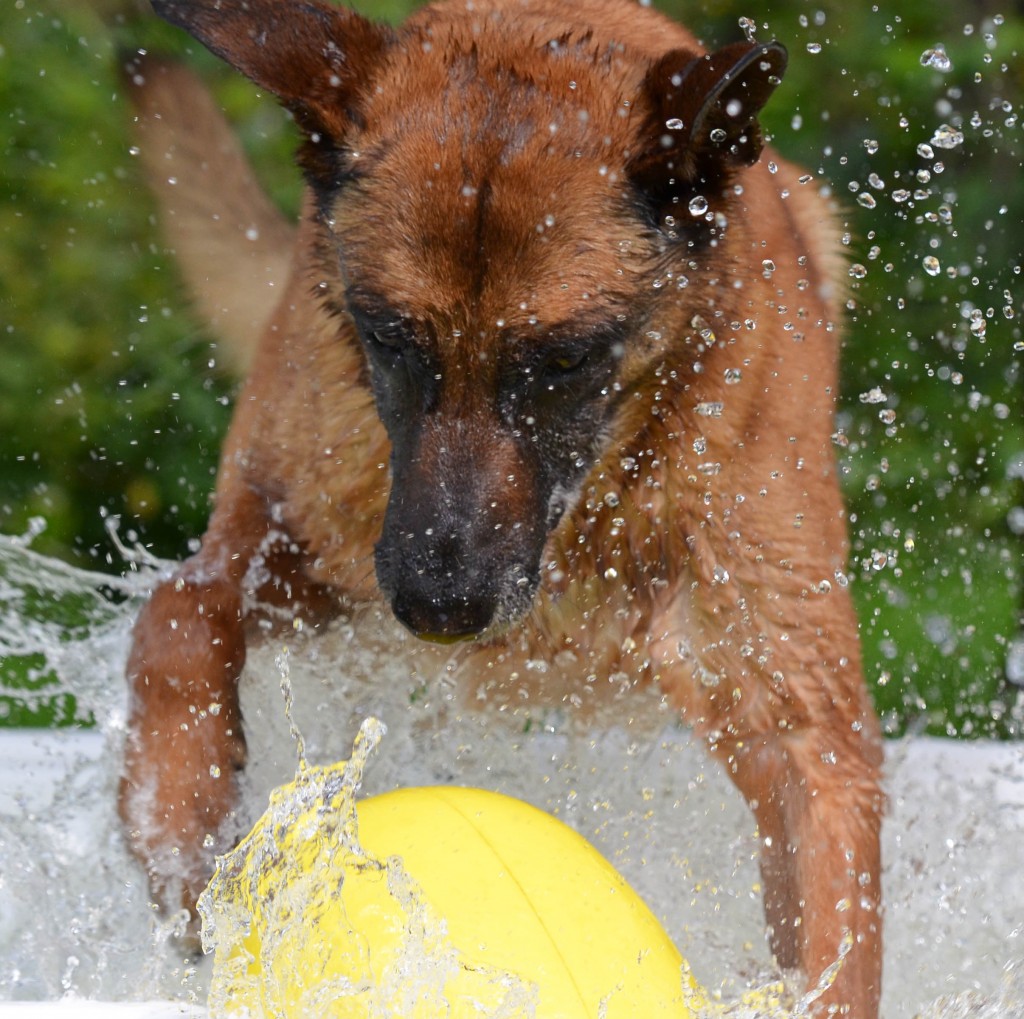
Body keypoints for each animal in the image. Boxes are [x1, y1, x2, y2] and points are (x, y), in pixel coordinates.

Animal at [119, 0, 884, 1011]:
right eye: (389, 338)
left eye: (563, 358)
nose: (440, 608)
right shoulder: (308, 543)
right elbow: (180, 610)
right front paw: (178, 813)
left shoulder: (801, 722)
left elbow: (833, 921)